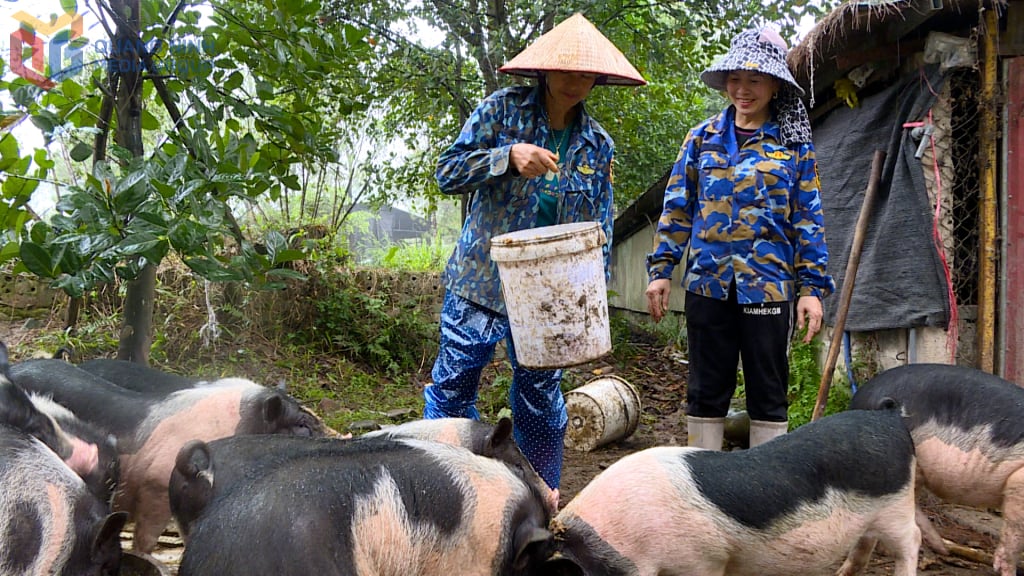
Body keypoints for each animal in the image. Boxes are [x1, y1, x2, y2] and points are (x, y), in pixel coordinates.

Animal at [548, 407, 925, 573]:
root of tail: (888, 416)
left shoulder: (702, 559)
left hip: (897, 504)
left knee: (911, 540)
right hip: (873, 515)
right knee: (866, 540)